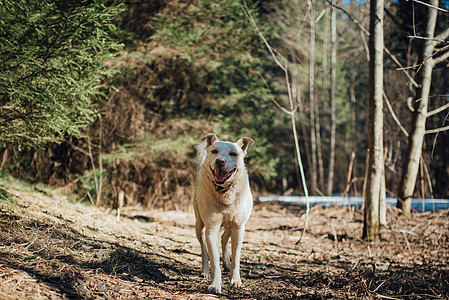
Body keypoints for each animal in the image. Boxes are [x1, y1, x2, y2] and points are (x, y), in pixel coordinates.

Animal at [193, 133, 254, 292]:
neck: (225, 192)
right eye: (214, 151)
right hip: (199, 224)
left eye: (234, 154)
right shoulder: (212, 227)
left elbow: (236, 257)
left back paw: (226, 262)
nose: (220, 161)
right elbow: (214, 259)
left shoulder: (239, 228)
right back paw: (205, 271)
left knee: (224, 238)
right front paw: (215, 284)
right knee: (203, 247)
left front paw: (235, 279)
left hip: (231, 224)